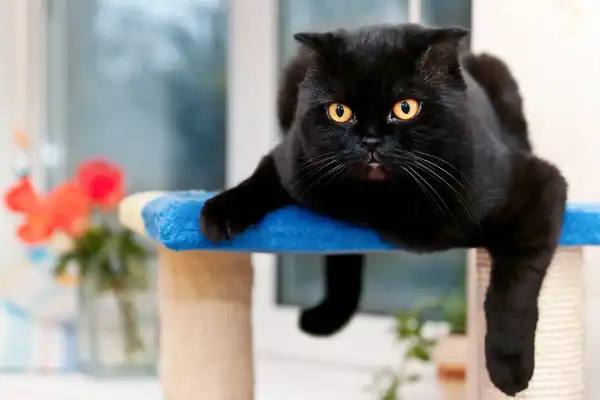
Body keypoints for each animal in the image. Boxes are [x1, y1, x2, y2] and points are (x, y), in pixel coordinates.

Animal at [200, 23, 568, 396]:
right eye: (339, 111)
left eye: (405, 107)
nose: (370, 141)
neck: (388, 201)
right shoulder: (290, 160)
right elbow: (257, 182)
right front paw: (218, 213)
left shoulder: (539, 185)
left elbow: (513, 291)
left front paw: (509, 368)